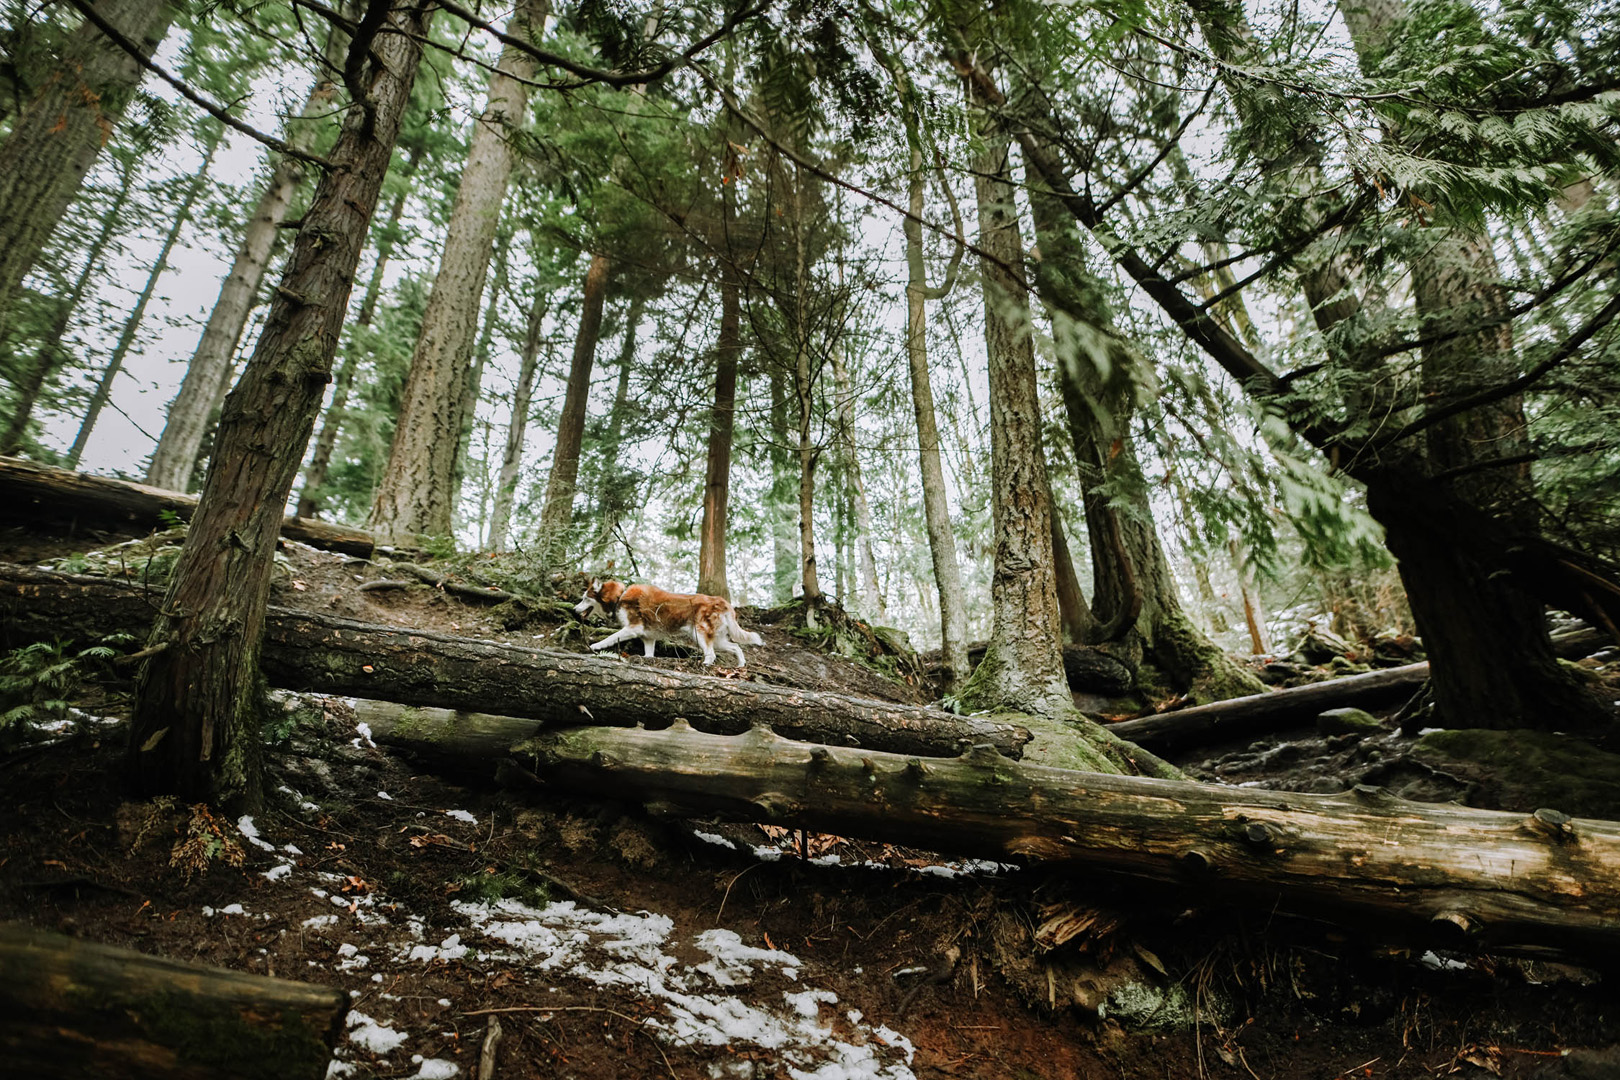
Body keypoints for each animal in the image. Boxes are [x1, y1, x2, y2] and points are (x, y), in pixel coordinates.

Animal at [576, 582, 764, 667]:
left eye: (585, 598)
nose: (574, 609)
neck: (619, 597)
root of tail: (722, 601)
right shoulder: (648, 637)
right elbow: (649, 653)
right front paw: (647, 660)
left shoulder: (633, 628)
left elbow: (610, 637)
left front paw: (596, 645)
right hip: (716, 639)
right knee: (736, 647)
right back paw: (740, 666)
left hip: (699, 634)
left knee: (711, 655)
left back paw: (704, 664)